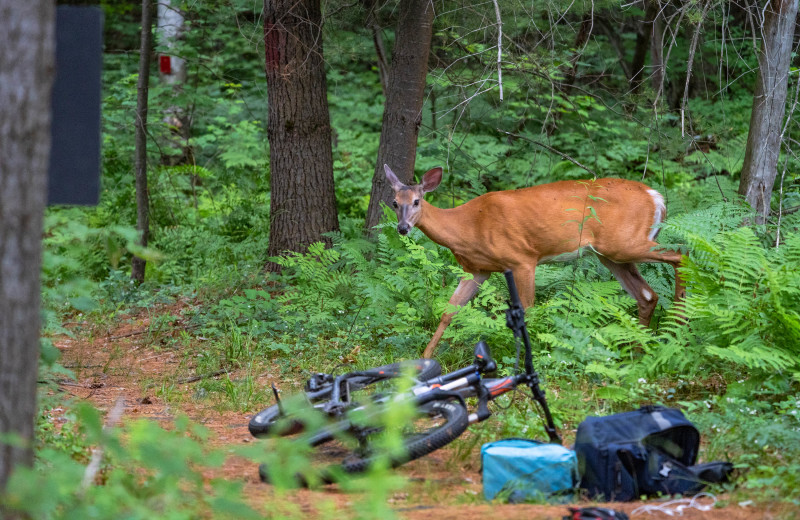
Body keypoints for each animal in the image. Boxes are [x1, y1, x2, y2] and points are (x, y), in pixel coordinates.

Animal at [384, 165, 684, 360]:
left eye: (417, 201)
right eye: (394, 202)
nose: (402, 228)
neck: (468, 226)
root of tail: (655, 196)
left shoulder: (522, 259)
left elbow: (527, 311)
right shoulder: (478, 269)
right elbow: (449, 311)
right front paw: (423, 358)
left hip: (624, 243)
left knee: (680, 254)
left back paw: (679, 318)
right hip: (611, 254)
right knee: (647, 294)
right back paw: (640, 349)